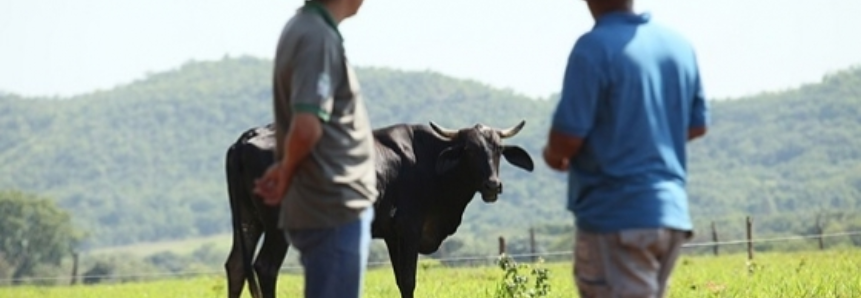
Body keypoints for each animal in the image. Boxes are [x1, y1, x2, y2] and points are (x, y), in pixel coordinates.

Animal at [223, 120, 532, 296]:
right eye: (468, 149)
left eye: (498, 149)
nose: (492, 185)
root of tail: (247, 137)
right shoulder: (409, 229)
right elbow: (408, 280)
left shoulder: (392, 235)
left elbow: (400, 280)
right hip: (278, 226)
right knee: (265, 267)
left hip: (248, 221)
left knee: (236, 266)